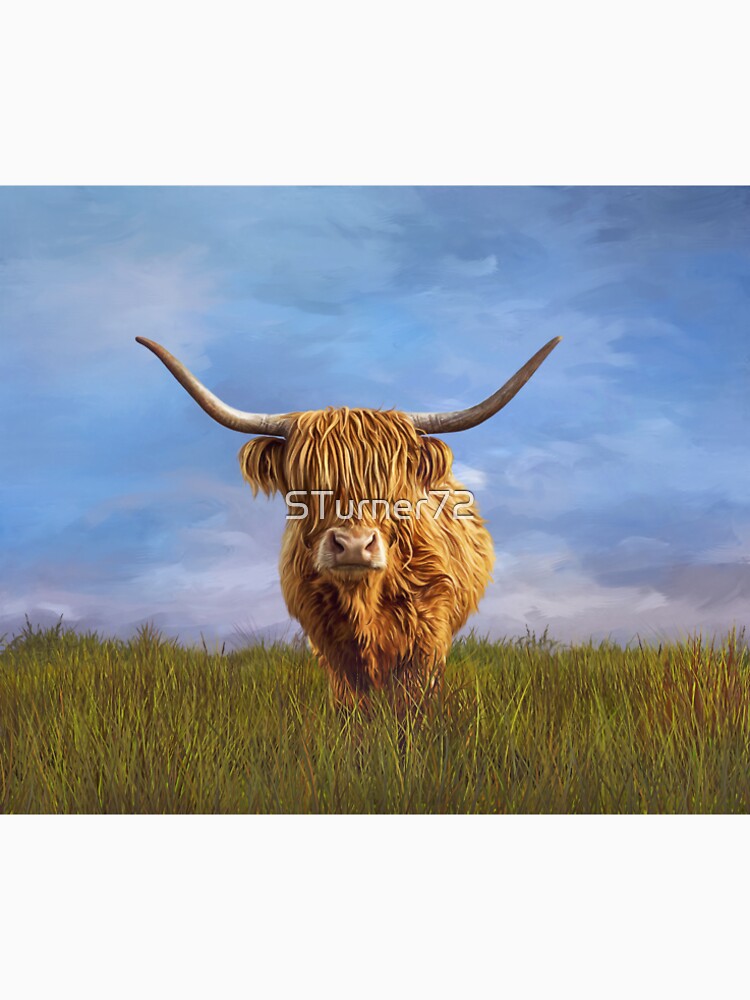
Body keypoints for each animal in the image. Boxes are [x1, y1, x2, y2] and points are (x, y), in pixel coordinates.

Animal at [136, 335, 561, 714]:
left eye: (394, 489)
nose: (354, 546)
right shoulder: (328, 642)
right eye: (304, 485)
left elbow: (412, 706)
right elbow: (352, 711)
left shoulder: (427, 636)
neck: (365, 600)